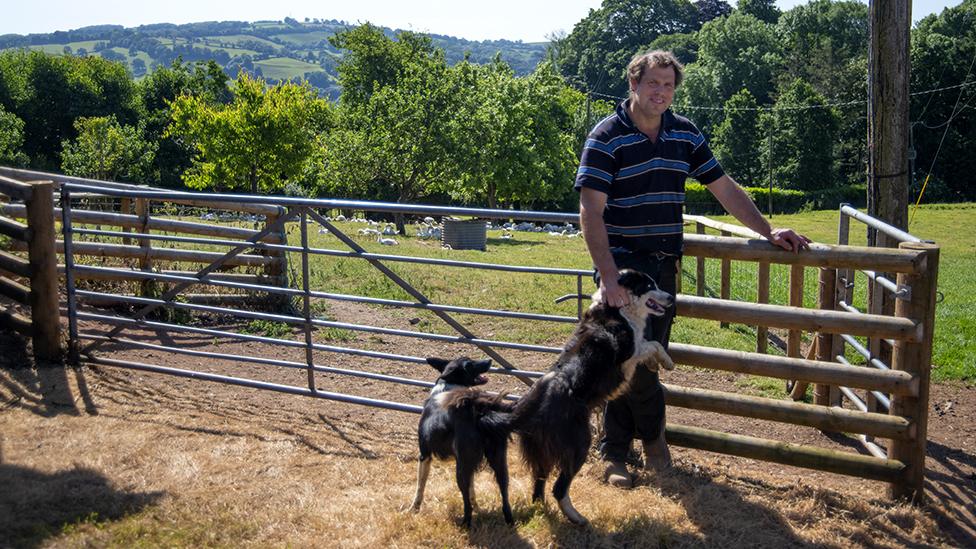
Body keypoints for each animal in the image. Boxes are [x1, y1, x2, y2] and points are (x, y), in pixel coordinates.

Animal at [408, 356, 516, 528]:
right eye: (469, 364)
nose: (488, 360)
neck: (447, 386)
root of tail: (478, 413)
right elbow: (473, 492)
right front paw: (479, 508)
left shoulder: (424, 455)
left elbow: (420, 486)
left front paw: (413, 509)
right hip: (499, 460)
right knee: (504, 490)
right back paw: (509, 521)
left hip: (462, 467)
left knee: (465, 499)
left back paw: (465, 523)